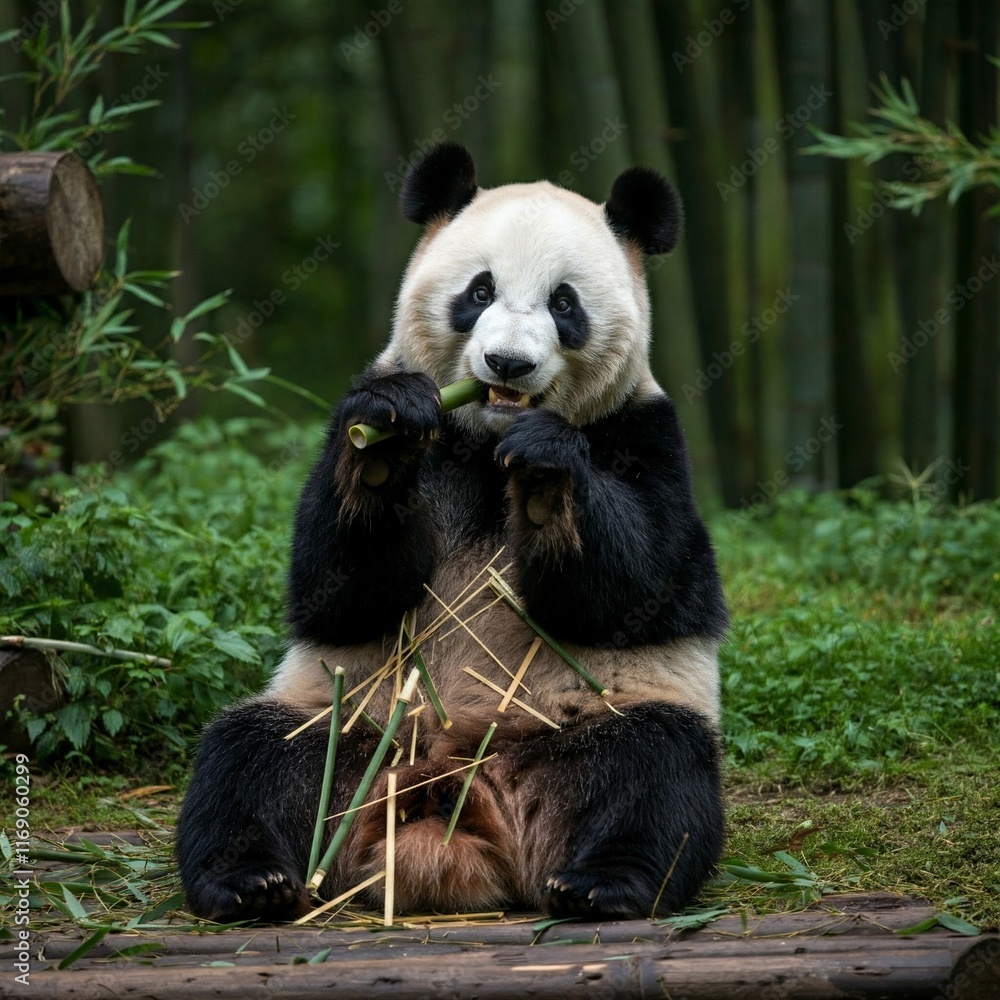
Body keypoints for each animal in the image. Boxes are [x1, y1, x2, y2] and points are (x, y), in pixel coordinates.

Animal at [176, 142, 728, 923]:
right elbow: (334, 591)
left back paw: (602, 883)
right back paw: (250, 881)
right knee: (254, 759)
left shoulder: (645, 434)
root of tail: (452, 801)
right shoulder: (387, 431)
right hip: (350, 723)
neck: (485, 440)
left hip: (581, 726)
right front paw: (381, 450)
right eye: (479, 290)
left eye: (565, 303)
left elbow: (642, 584)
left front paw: (548, 475)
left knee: (654, 772)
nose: (508, 364)